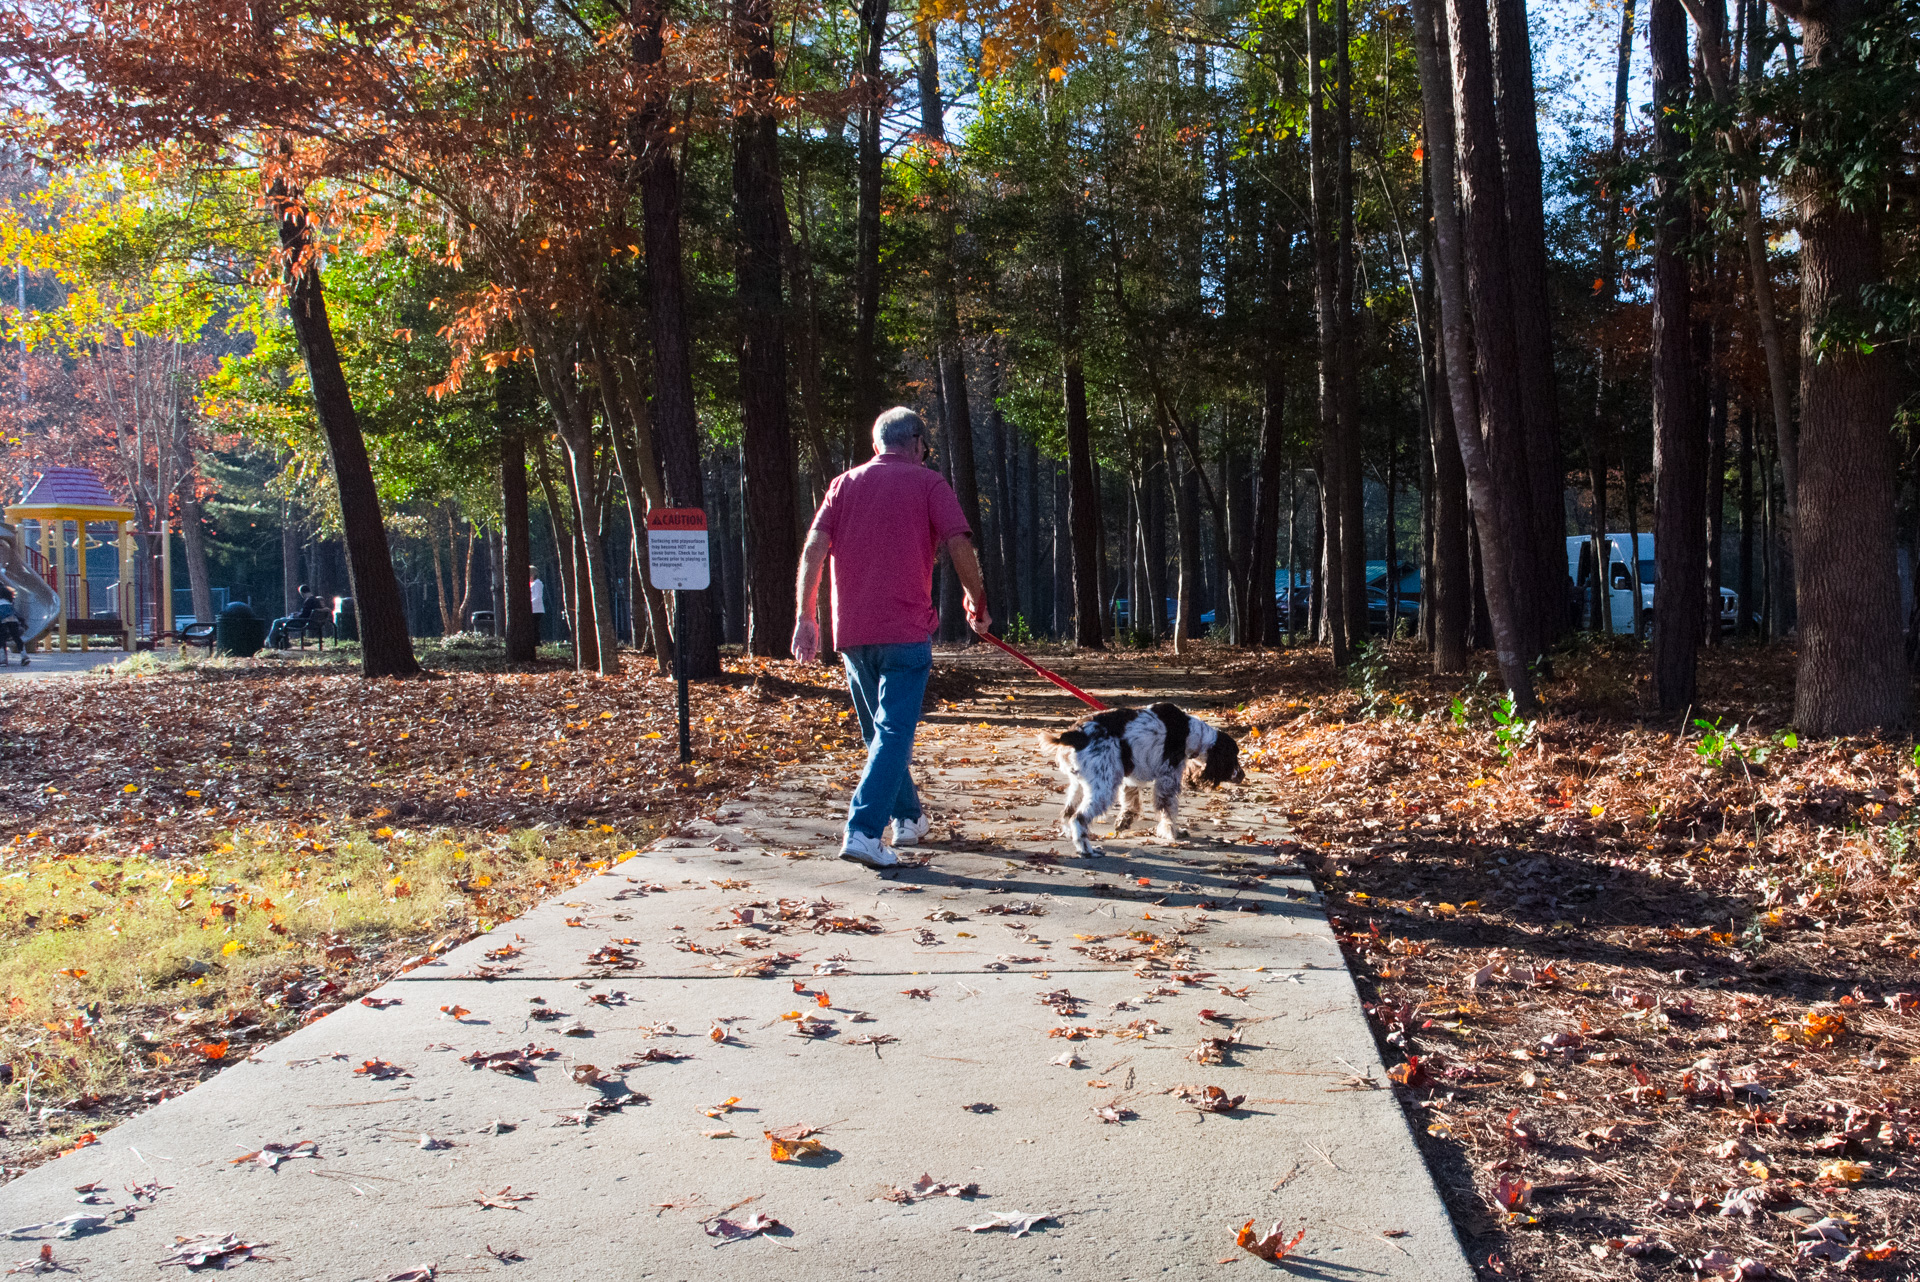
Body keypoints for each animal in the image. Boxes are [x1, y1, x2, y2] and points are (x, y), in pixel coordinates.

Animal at [1044, 706, 1236, 855]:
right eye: (1234, 756)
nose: (1240, 775)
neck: (1190, 733)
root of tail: (1072, 734)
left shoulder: (1130, 779)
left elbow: (1131, 803)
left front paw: (1124, 821)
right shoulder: (1167, 779)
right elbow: (1168, 812)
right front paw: (1173, 833)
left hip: (1080, 785)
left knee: (1067, 814)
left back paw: (1073, 838)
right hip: (1105, 787)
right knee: (1078, 818)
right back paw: (1087, 850)